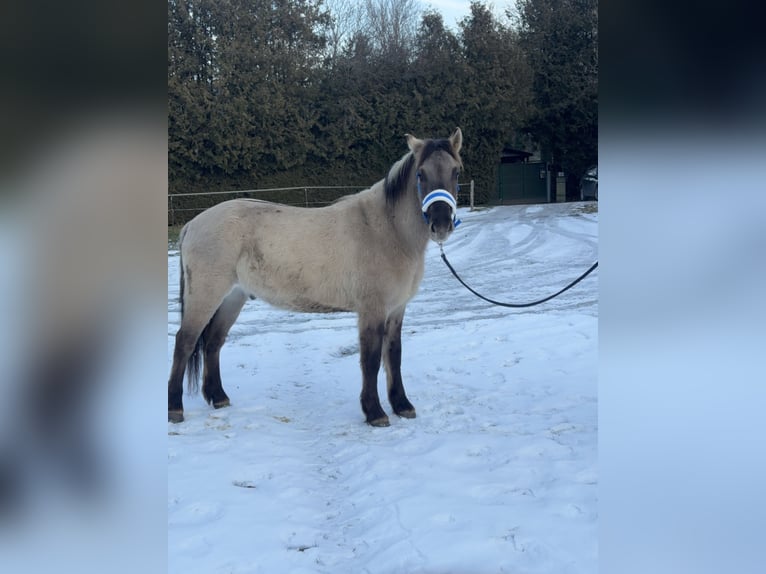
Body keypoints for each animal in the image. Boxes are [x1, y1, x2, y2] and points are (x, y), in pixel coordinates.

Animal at [168, 128, 463, 427]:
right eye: (421, 174)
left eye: (456, 171)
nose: (441, 225)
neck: (386, 230)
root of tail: (192, 224)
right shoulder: (373, 310)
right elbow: (370, 360)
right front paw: (375, 413)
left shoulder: (396, 309)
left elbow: (394, 355)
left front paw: (402, 405)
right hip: (205, 295)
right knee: (185, 342)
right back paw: (174, 409)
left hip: (232, 297)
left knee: (213, 342)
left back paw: (218, 398)